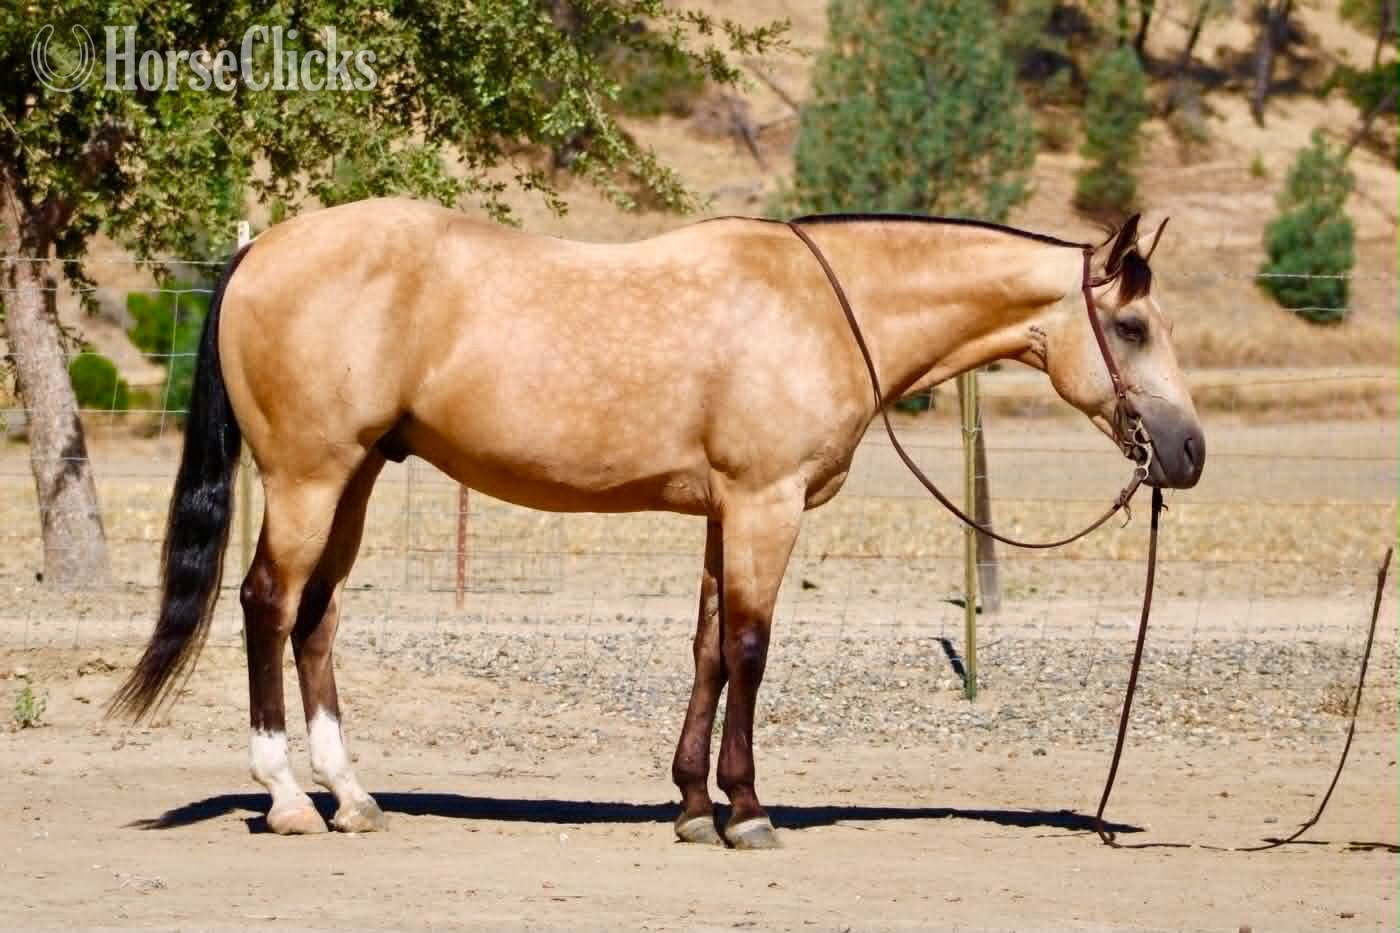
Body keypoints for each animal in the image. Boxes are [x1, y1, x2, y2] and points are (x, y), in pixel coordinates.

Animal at [110, 200, 1204, 849]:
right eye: (1132, 327)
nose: (1188, 452)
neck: (823, 306)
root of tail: (263, 247)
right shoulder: (764, 503)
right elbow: (753, 649)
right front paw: (748, 812)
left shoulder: (726, 510)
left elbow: (709, 649)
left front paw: (689, 806)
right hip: (308, 475)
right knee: (265, 603)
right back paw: (290, 799)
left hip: (357, 477)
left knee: (317, 617)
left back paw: (353, 796)